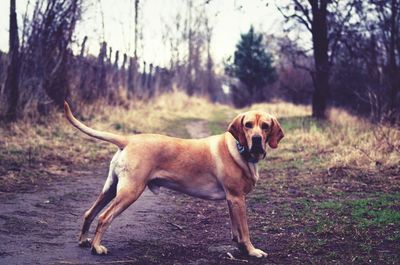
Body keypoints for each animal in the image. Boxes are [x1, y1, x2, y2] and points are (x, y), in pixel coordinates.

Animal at [64, 100, 284, 256]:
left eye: (265, 126)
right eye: (248, 125)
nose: (257, 139)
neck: (240, 150)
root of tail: (128, 140)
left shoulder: (232, 200)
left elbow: (236, 229)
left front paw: (240, 247)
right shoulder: (237, 198)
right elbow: (245, 230)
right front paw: (252, 251)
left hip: (110, 189)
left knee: (89, 213)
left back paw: (84, 241)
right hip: (130, 192)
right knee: (103, 217)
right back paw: (96, 247)